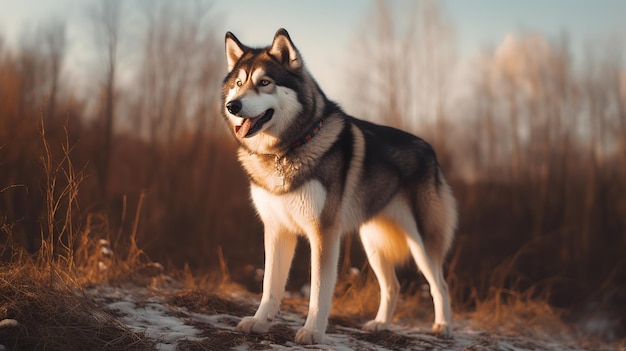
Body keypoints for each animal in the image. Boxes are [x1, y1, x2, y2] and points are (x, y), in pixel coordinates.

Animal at [222, 28, 456, 346]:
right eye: (238, 83)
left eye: (264, 83)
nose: (232, 106)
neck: (287, 150)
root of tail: (430, 149)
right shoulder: (276, 230)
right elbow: (270, 285)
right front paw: (259, 322)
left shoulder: (324, 232)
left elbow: (319, 290)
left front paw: (312, 332)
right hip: (372, 242)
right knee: (393, 285)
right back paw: (380, 324)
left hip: (421, 244)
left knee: (440, 284)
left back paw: (443, 326)